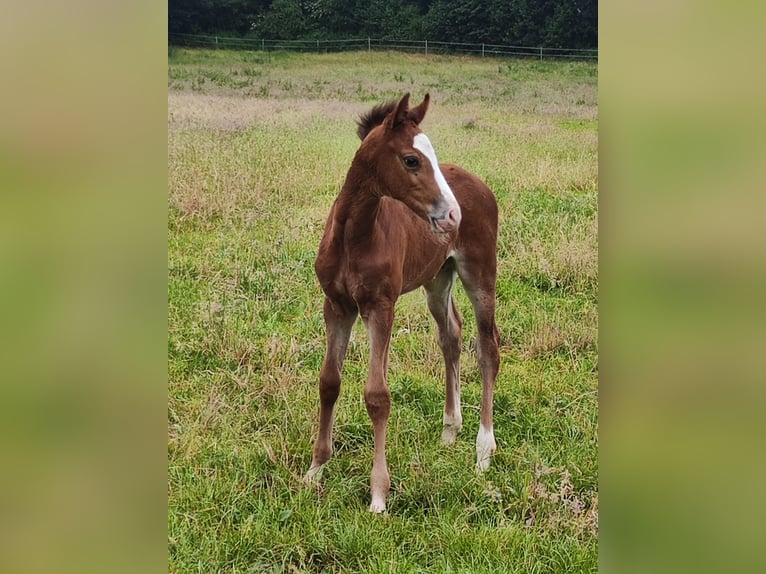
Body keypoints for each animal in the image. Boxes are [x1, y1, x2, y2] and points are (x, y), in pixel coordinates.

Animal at [304, 93, 500, 513]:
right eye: (411, 160)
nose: (452, 215)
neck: (355, 235)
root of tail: (481, 185)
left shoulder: (381, 307)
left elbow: (377, 395)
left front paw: (379, 494)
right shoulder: (336, 305)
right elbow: (329, 382)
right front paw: (315, 470)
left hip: (480, 273)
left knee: (488, 348)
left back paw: (483, 451)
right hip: (437, 278)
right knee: (451, 336)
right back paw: (450, 430)